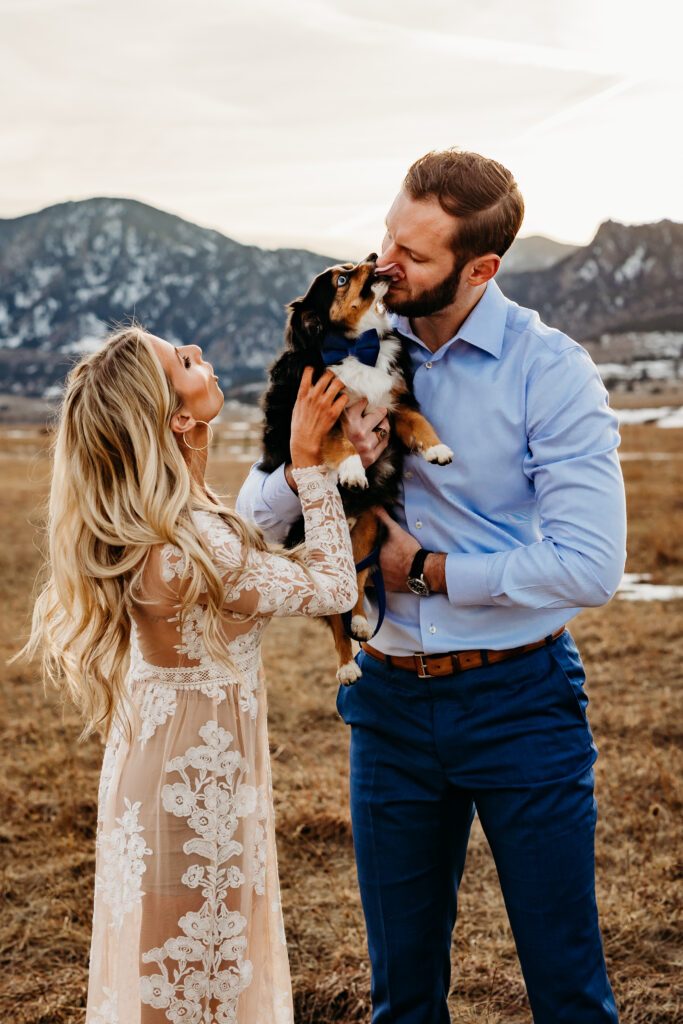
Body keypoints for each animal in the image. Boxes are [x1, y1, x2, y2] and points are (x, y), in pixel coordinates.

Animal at [258, 251, 454, 684]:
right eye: (342, 280)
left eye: (348, 267)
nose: (373, 256)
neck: (359, 345)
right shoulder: (322, 413)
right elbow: (341, 441)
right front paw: (351, 470)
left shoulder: (394, 405)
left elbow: (420, 423)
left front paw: (437, 449)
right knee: (335, 613)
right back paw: (347, 666)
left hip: (368, 528)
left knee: (358, 583)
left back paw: (363, 622)